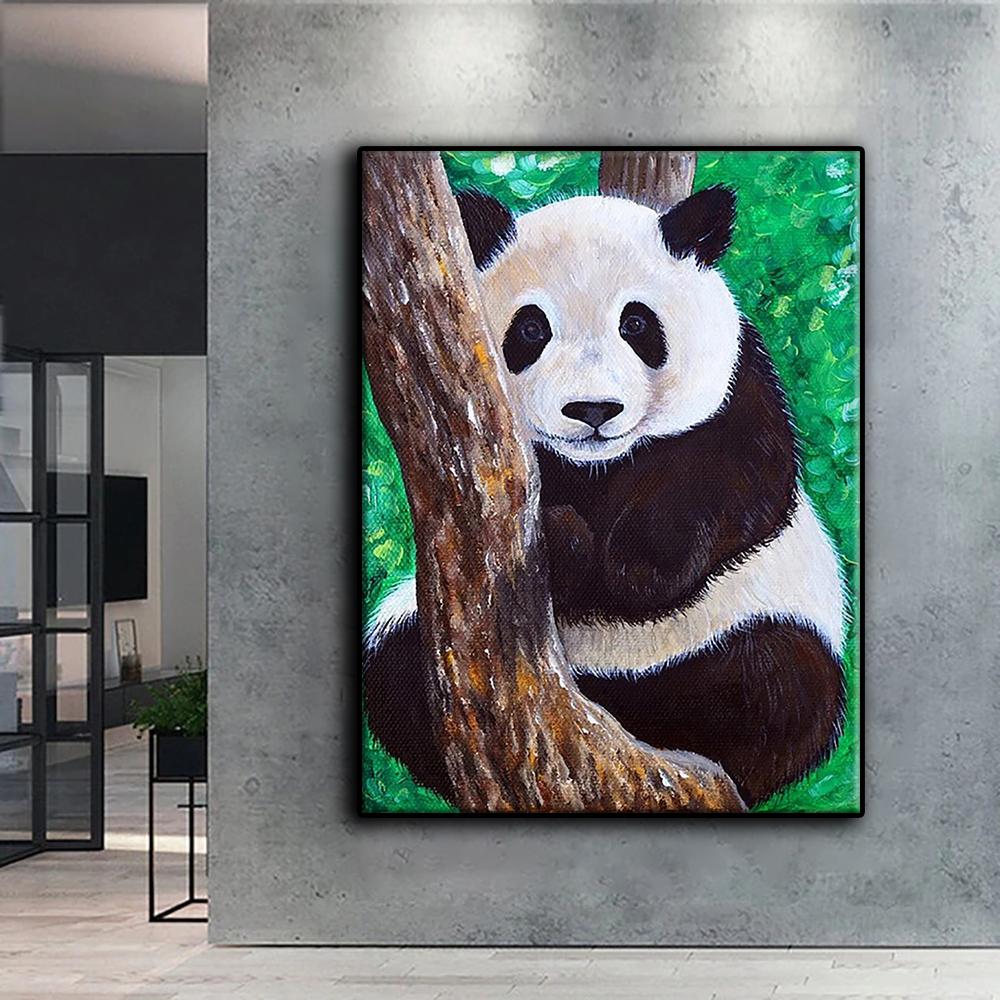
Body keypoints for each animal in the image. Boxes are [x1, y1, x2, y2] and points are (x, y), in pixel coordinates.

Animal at [364, 183, 846, 809]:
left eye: (636, 323)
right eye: (531, 329)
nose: (592, 409)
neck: (595, 469)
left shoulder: (737, 394)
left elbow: (732, 480)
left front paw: (620, 563)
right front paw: (562, 540)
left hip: (758, 619)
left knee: (779, 681)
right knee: (394, 669)